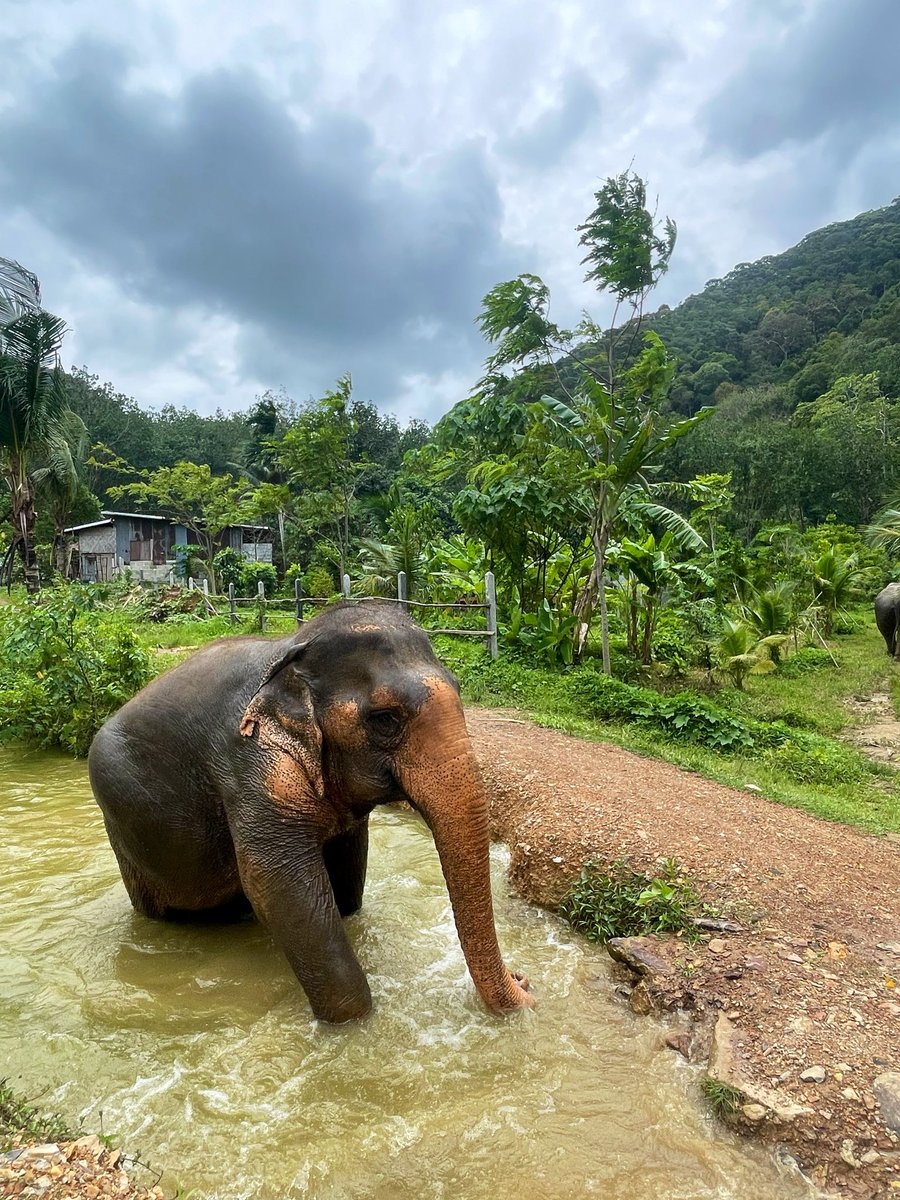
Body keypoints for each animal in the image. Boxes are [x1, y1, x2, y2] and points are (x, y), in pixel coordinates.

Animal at [88, 601, 533, 1023]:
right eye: (385, 719)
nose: (523, 979)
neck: (291, 649)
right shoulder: (251, 763)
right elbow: (278, 887)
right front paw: (355, 1025)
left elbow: (347, 886)